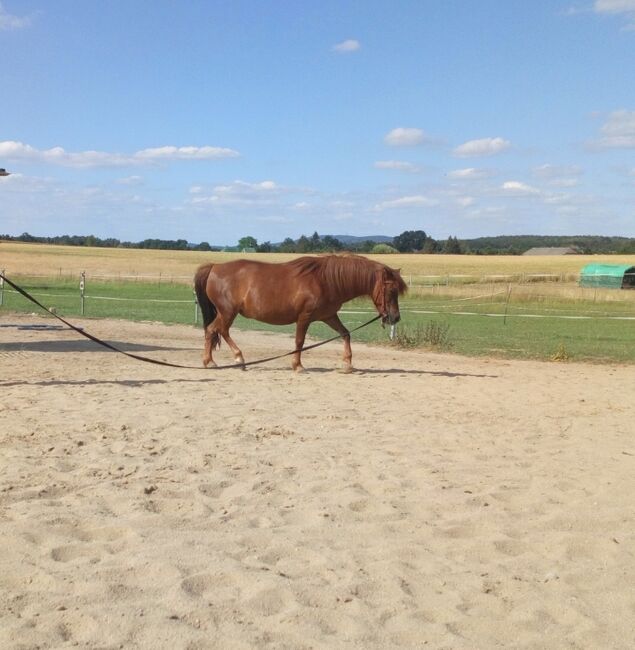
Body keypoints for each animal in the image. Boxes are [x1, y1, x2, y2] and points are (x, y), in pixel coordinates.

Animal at [194, 256, 408, 372]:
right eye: (391, 291)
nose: (395, 317)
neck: (325, 280)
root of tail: (214, 267)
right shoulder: (304, 317)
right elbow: (299, 341)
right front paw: (298, 366)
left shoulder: (328, 316)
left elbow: (345, 334)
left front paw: (347, 363)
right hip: (227, 312)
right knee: (218, 330)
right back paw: (237, 359)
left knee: (212, 331)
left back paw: (209, 361)